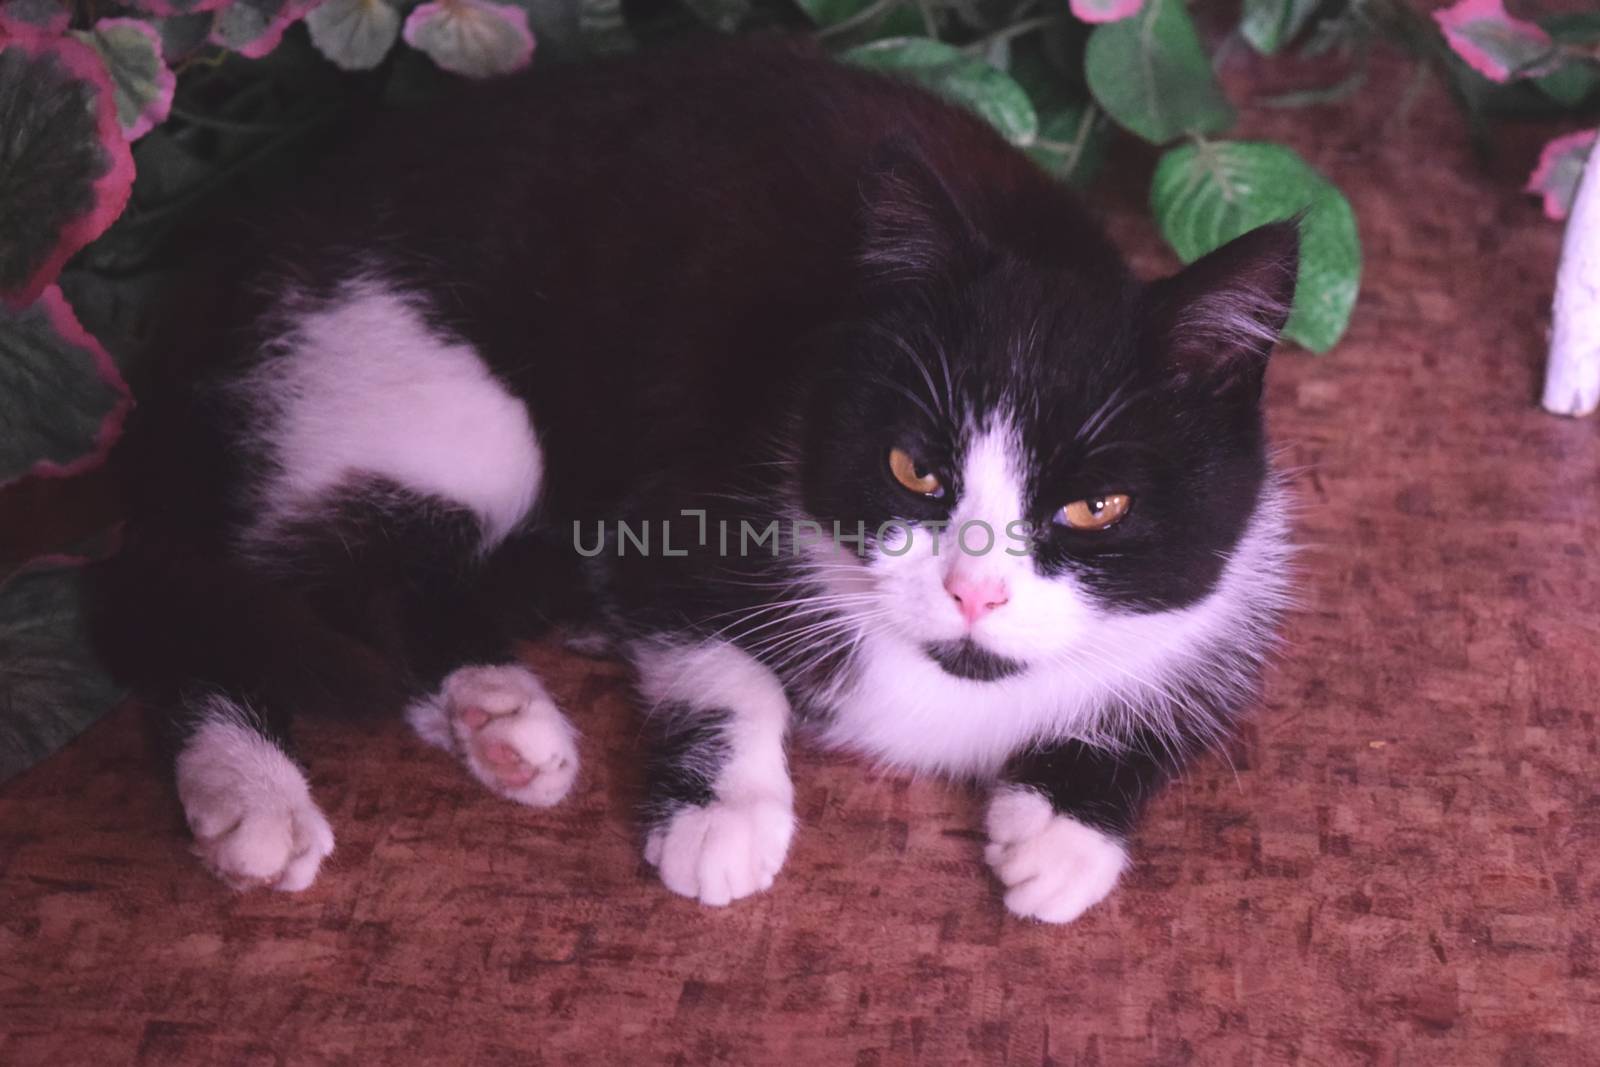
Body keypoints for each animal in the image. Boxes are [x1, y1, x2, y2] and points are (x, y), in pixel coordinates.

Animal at [93, 37, 1292, 921]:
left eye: (1096, 505)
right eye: (914, 467)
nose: (973, 592)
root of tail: (249, 239)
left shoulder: (1239, 549)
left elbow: (1183, 688)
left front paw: (1065, 831)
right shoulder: (689, 494)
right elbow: (717, 658)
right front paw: (725, 814)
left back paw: (496, 715)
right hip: (407, 366)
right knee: (243, 579)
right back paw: (254, 792)